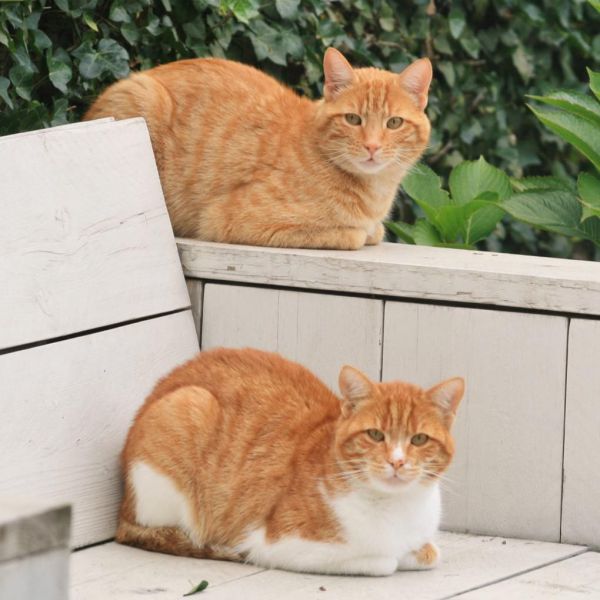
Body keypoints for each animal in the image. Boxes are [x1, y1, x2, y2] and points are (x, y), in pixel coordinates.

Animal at [84, 47, 432, 251]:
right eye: (353, 119)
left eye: (394, 123)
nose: (372, 146)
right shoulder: (227, 219)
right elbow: (355, 235)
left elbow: (374, 232)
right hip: (142, 96)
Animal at [118, 350, 464, 576]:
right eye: (376, 434)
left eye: (419, 439)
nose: (397, 461)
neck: (396, 508)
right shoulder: (276, 545)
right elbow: (383, 561)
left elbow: (429, 552)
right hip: (188, 408)